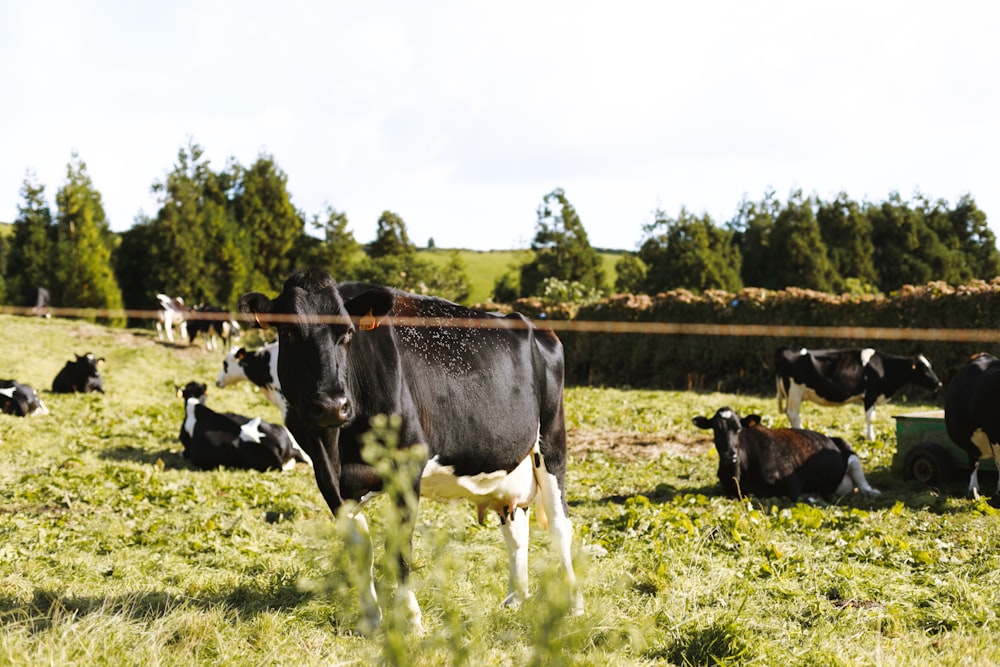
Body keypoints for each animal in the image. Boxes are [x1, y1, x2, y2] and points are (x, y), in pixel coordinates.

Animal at [239, 270, 584, 632]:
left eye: (346, 332)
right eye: (289, 332)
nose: (332, 405)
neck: (339, 447)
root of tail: (536, 326)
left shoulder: (406, 469)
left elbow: (399, 547)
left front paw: (410, 618)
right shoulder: (327, 478)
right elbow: (360, 550)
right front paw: (371, 619)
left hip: (551, 442)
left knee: (560, 525)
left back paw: (574, 604)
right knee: (516, 530)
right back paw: (515, 598)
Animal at [692, 408, 880, 500]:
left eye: (738, 429)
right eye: (716, 429)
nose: (730, 455)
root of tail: (831, 438)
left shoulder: (793, 480)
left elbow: (792, 495)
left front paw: (811, 496)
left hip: (850, 453)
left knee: (861, 480)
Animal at [772, 348, 936, 440]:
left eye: (930, 366)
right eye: (924, 369)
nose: (938, 383)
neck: (883, 367)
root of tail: (784, 352)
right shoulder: (870, 394)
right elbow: (870, 418)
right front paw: (871, 438)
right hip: (795, 391)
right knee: (793, 414)